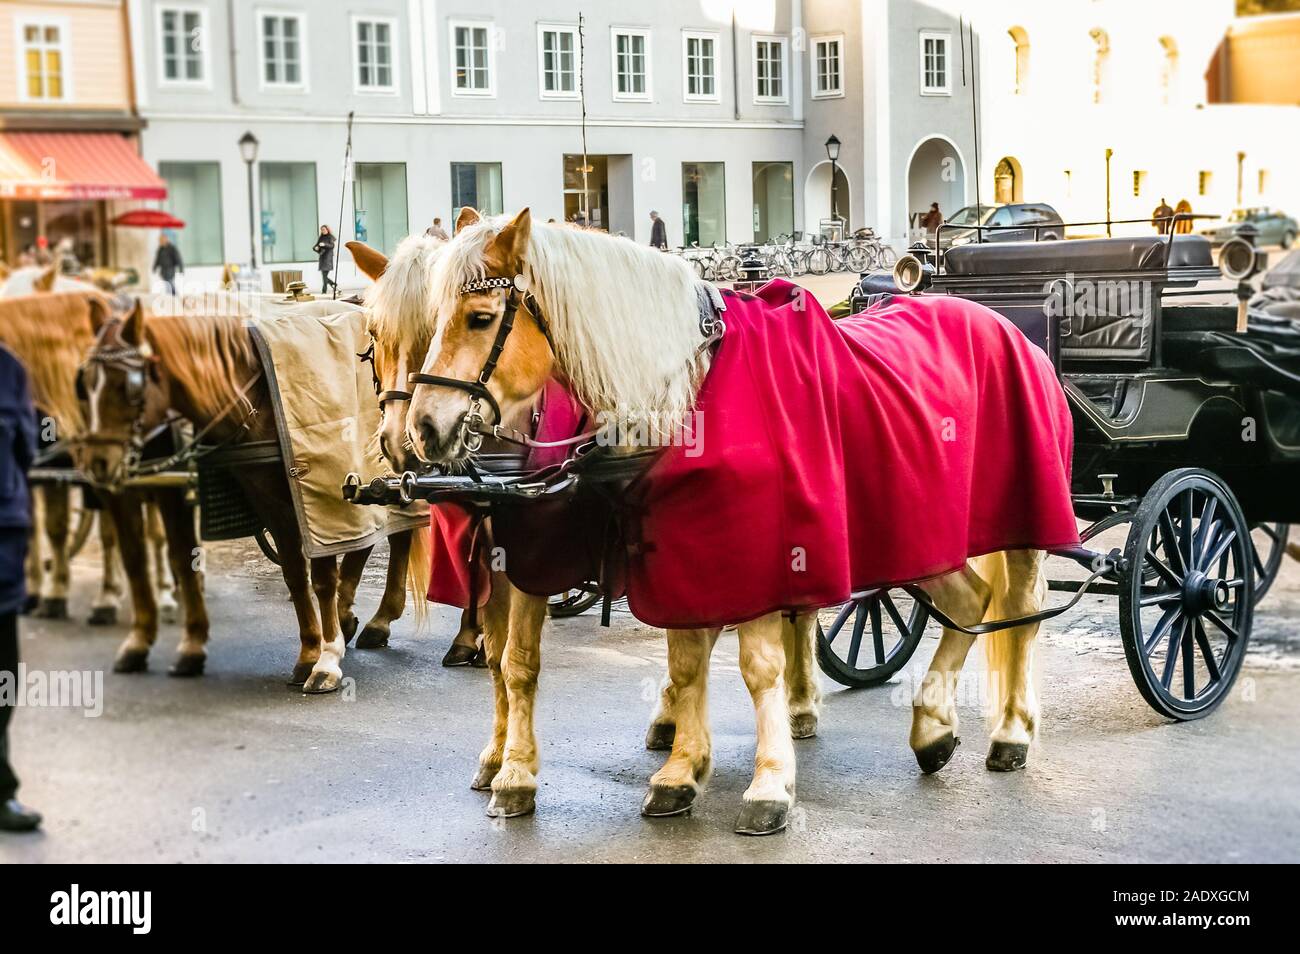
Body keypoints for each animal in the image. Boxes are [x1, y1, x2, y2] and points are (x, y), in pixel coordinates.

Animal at [76, 299, 429, 691]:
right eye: (84, 385)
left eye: (129, 387)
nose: (97, 462)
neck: (255, 399)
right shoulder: (268, 499)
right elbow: (291, 572)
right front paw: (309, 651)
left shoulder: (310, 499)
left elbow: (321, 576)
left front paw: (326, 659)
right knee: (365, 539)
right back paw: (347, 615)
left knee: (399, 535)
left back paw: (379, 619)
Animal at [405, 208, 1055, 835]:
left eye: (481, 318)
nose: (422, 430)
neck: (692, 389)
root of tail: (1002, 325)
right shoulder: (682, 547)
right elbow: (682, 657)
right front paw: (679, 773)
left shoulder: (755, 556)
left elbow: (756, 666)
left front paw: (768, 785)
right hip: (921, 541)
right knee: (970, 600)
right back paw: (932, 727)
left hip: (1017, 527)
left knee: (1019, 609)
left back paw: (1010, 732)